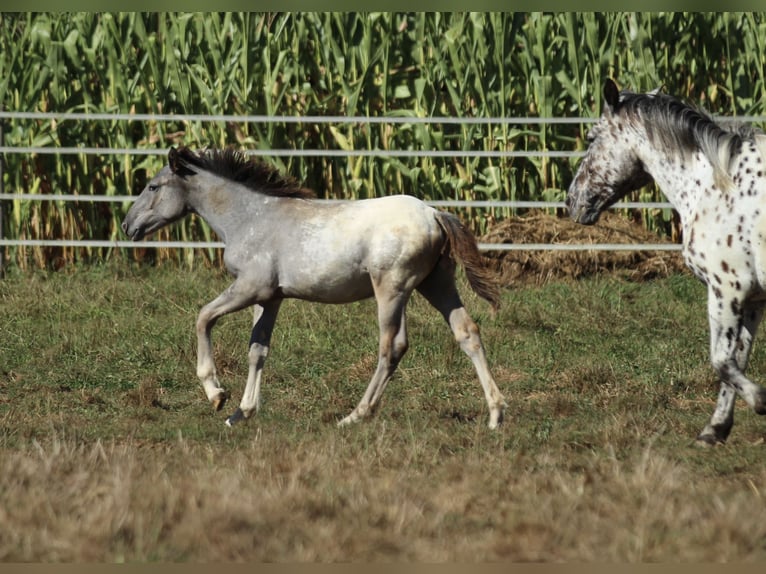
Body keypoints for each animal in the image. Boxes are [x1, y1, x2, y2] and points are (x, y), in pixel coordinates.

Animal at [123, 146, 508, 430]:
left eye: (153, 186)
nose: (128, 226)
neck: (251, 218)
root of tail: (434, 214)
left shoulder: (249, 287)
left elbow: (203, 318)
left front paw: (216, 394)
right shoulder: (270, 298)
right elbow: (257, 350)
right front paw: (241, 413)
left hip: (392, 288)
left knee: (393, 346)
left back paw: (354, 416)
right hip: (437, 283)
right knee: (467, 333)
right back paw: (495, 414)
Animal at [568, 77, 766, 446]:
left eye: (591, 137)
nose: (572, 201)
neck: (718, 185)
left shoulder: (727, 290)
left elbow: (721, 361)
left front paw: (759, 401)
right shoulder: (753, 299)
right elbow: (737, 361)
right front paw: (715, 430)